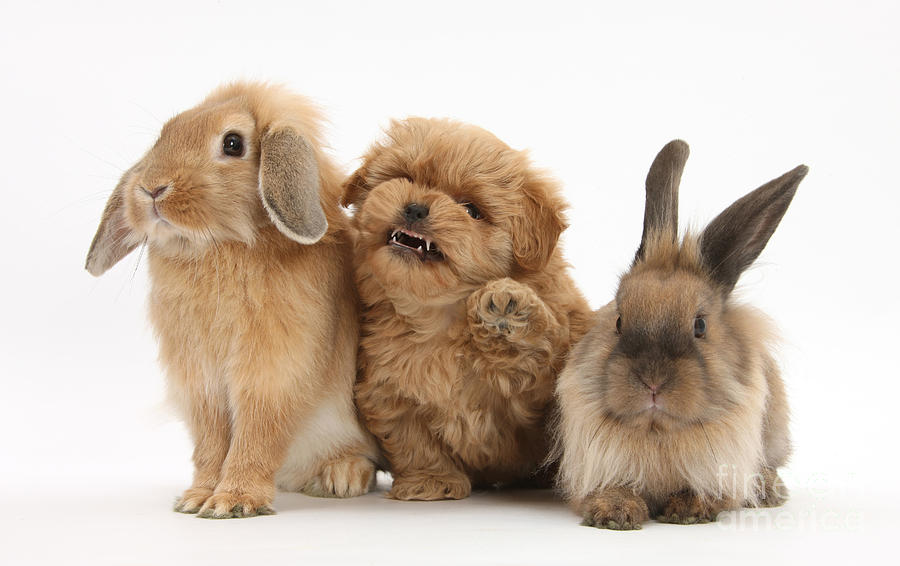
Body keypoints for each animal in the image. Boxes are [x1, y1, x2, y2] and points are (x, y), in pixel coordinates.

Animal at [85, 82, 381, 518]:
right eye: (165, 134)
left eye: (232, 143)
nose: (151, 188)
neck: (218, 246)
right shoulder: (202, 385)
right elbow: (211, 445)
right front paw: (197, 498)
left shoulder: (271, 377)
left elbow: (255, 437)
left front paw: (234, 501)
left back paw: (342, 477)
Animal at [553, 140, 807, 530]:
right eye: (619, 321)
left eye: (699, 325)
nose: (652, 381)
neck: (658, 431)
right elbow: (613, 489)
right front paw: (614, 514)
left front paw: (688, 510)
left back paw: (769, 490)